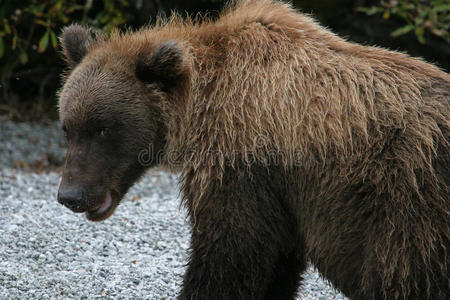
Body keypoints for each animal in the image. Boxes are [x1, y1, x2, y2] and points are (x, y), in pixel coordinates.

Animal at [57, 0, 450, 300]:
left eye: (103, 129)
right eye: (68, 128)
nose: (70, 195)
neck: (198, 104)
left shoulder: (242, 159)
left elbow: (231, 253)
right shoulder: (279, 195)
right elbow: (274, 261)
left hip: (406, 199)